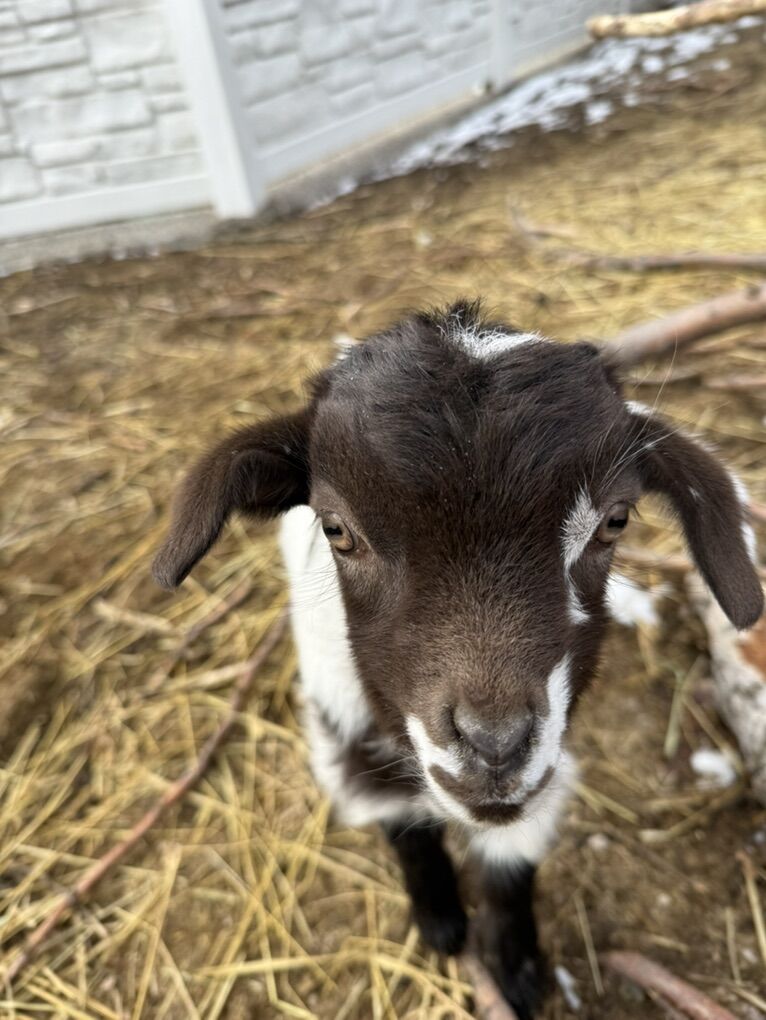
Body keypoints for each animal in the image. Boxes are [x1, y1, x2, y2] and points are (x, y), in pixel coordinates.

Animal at [152, 301, 762, 1018]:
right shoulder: (343, 726)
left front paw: (516, 969)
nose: (494, 745)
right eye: (336, 529)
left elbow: (511, 864)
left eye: (615, 521)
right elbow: (403, 828)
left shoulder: (544, 767)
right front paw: (440, 922)